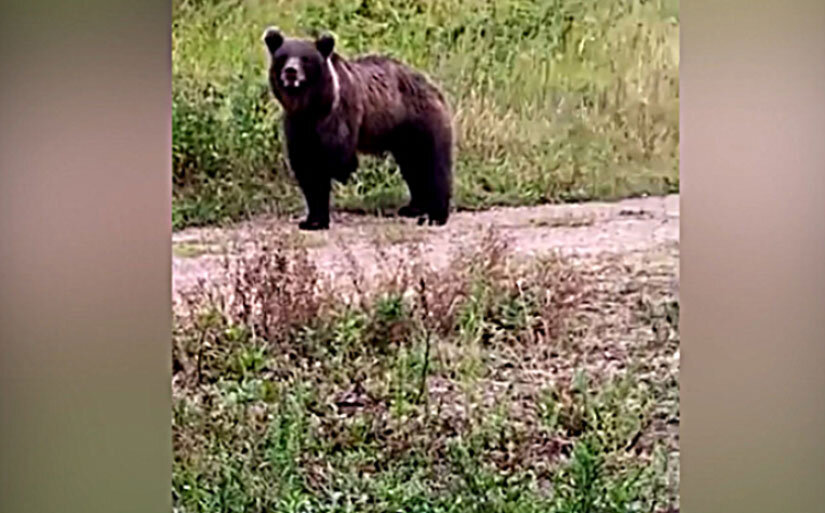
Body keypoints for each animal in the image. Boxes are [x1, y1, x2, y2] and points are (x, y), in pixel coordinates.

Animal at [260, 26, 450, 230]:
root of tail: (430, 85)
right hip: (404, 137)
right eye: (283, 56)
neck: (312, 107)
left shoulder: (339, 117)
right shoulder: (298, 126)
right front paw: (312, 220)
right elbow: (308, 170)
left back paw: (436, 215)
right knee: (413, 167)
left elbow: (334, 161)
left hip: (421, 123)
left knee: (434, 166)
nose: (291, 71)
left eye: (305, 58)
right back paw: (413, 207)